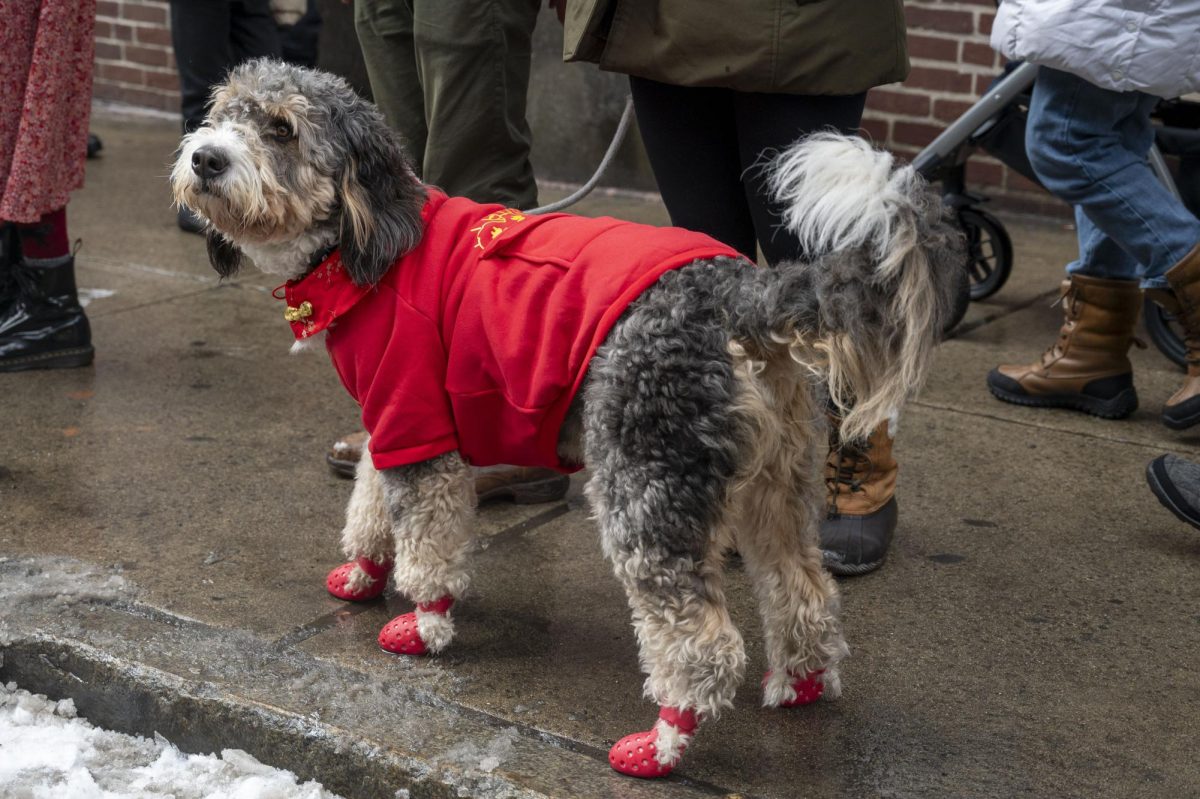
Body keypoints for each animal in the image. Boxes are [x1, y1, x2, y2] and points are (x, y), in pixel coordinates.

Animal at [171, 57, 964, 777]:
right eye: (223, 111)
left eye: (281, 128)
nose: (205, 156)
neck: (375, 247)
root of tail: (738, 289)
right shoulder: (390, 419)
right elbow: (369, 493)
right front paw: (363, 570)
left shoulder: (416, 420)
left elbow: (428, 544)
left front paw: (424, 623)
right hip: (774, 484)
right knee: (804, 591)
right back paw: (798, 684)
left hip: (646, 486)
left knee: (702, 643)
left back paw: (664, 742)